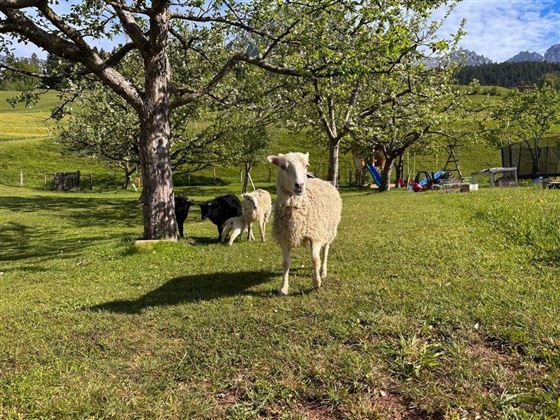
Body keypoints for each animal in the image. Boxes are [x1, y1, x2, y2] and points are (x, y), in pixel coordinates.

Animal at [266, 152, 342, 296]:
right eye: (283, 167)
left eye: (306, 165)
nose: (300, 185)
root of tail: (323, 180)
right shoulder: (284, 237)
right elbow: (285, 263)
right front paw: (283, 288)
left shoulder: (315, 235)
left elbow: (315, 260)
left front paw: (316, 283)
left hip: (329, 230)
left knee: (325, 251)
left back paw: (323, 271)